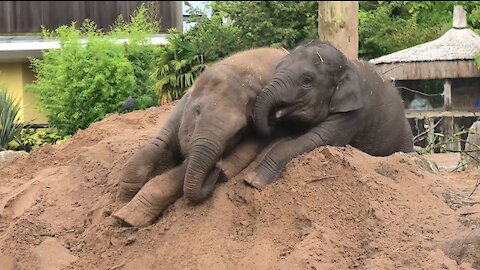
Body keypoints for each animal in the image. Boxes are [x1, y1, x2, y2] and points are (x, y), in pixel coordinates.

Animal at [113, 47, 286, 227]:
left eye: (239, 132)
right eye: (197, 109)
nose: (218, 164)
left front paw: (127, 218)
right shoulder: (182, 106)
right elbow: (155, 146)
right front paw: (123, 198)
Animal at [246, 41, 414, 191]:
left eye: (307, 80)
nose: (270, 121)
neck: (347, 65)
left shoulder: (353, 115)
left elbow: (316, 139)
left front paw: (253, 181)